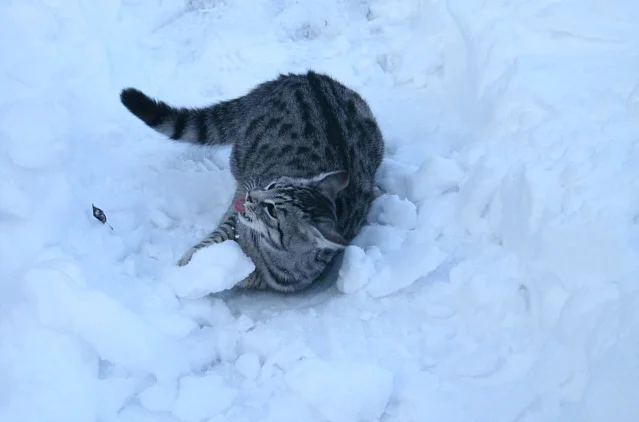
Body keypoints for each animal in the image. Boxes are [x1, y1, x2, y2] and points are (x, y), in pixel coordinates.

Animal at [120, 71, 384, 292]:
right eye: (272, 185)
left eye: (273, 211)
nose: (252, 195)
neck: (265, 251)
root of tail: (305, 77)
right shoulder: (236, 215)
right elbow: (217, 235)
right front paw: (190, 264)